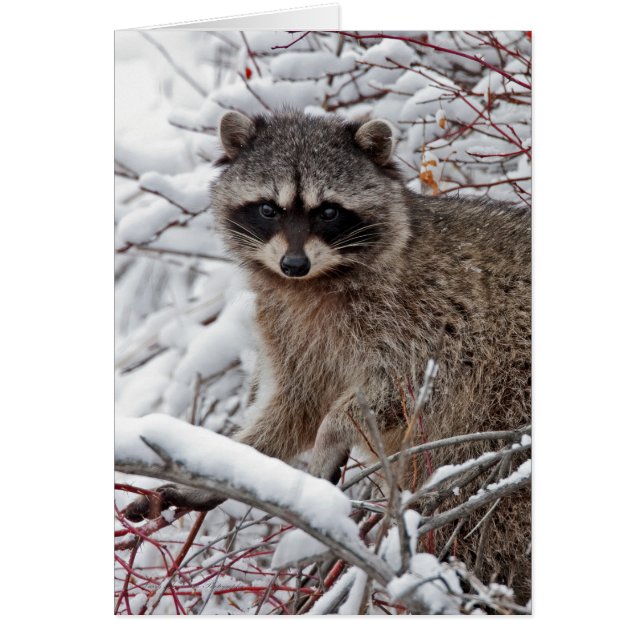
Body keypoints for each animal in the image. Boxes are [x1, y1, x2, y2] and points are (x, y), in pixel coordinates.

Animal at [125, 110, 531, 602]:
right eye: (269, 209)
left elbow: (406, 386)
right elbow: (295, 405)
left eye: (329, 211)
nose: (293, 264)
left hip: (506, 397)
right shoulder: (290, 329)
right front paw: (228, 468)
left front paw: (332, 431)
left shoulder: (436, 319)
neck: (317, 281)